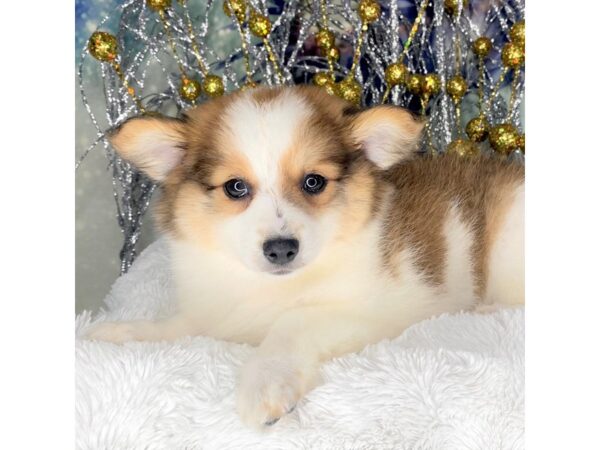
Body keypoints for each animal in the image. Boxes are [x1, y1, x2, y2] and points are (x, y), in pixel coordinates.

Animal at [85, 85, 524, 428]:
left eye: (313, 182)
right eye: (235, 187)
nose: (281, 248)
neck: (268, 289)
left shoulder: (381, 309)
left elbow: (291, 322)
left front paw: (265, 382)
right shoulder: (217, 314)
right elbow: (176, 326)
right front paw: (120, 333)